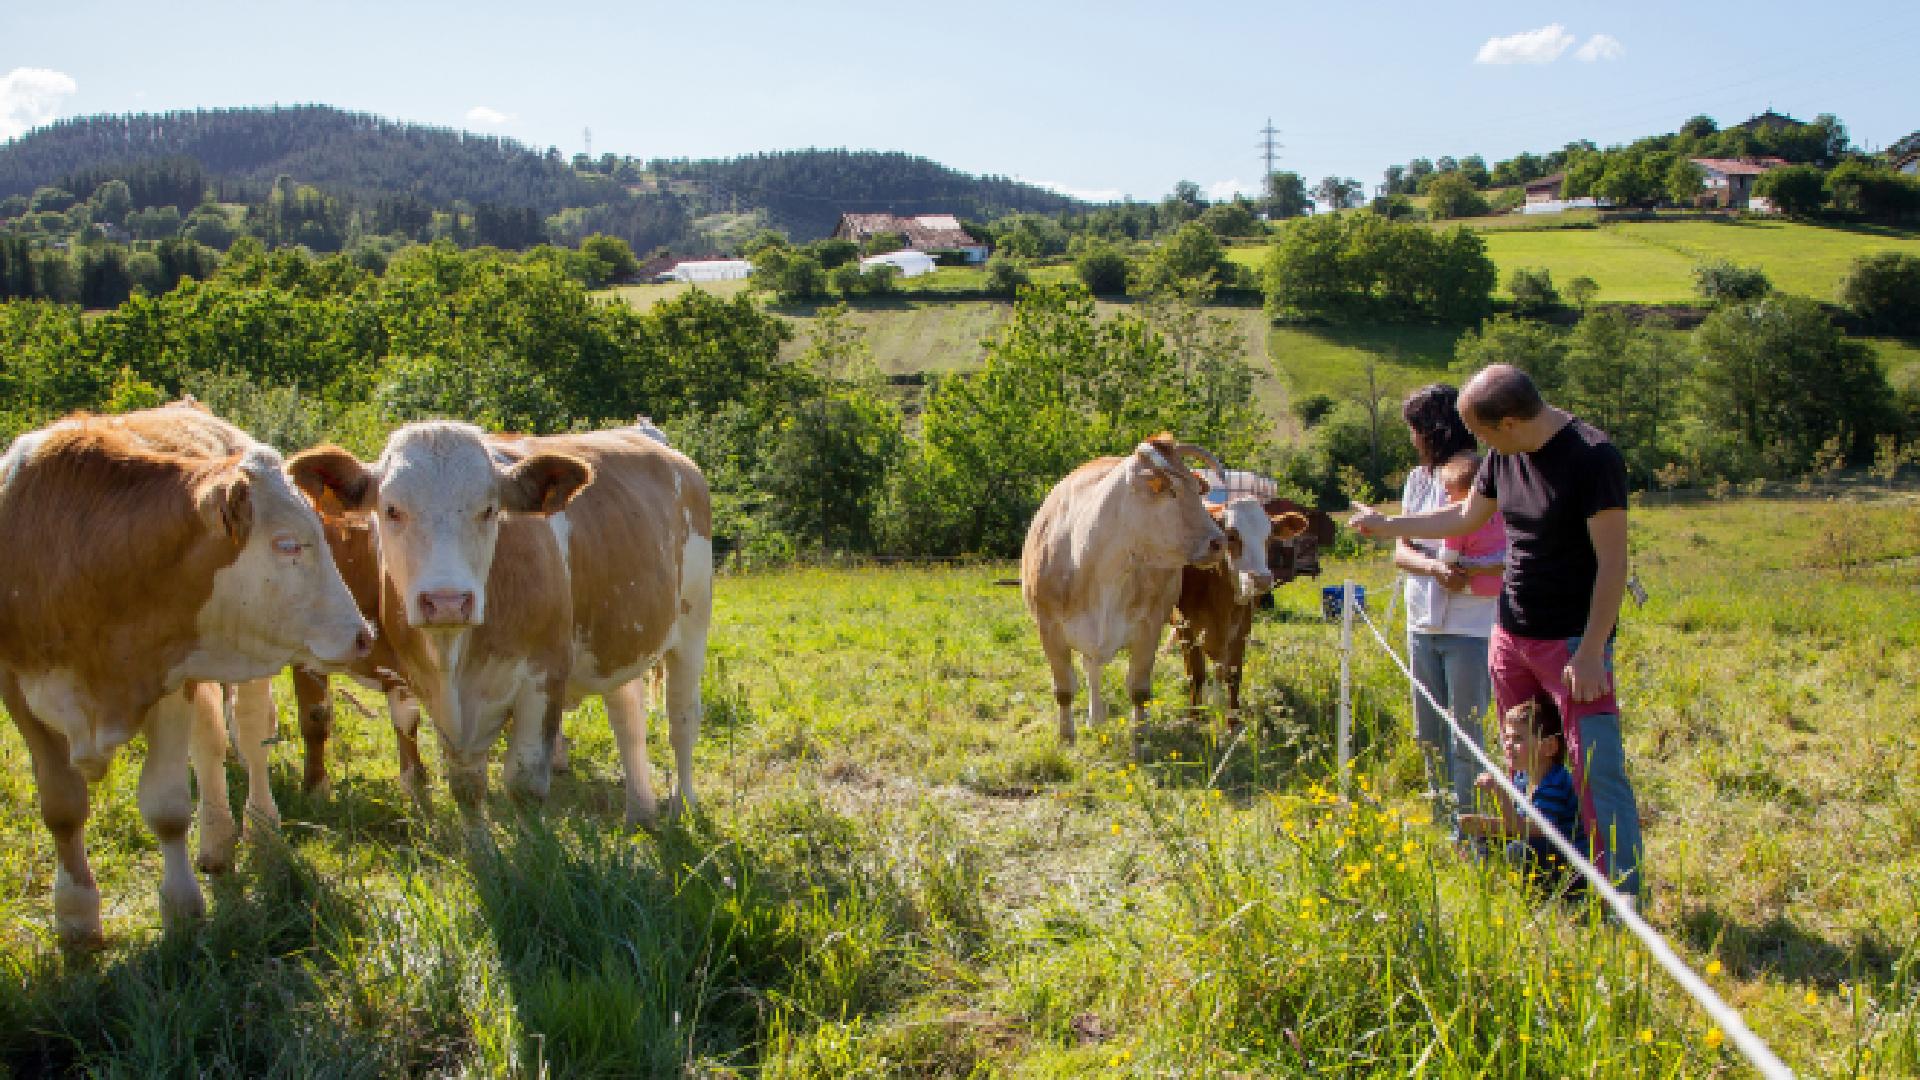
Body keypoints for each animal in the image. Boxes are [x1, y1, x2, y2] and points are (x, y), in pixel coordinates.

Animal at [0, 403, 370, 941]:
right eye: (287, 545)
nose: (363, 635)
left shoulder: (170, 686)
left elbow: (168, 807)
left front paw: (181, 907)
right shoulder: (18, 693)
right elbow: (62, 808)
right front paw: (76, 915)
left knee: (249, 735)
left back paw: (261, 831)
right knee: (211, 745)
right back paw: (216, 843)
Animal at [291, 417, 721, 818]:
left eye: (489, 510)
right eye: (391, 509)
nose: (447, 602)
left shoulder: (542, 677)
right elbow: (327, 719)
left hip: (692, 626)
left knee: (682, 718)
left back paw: (683, 805)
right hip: (616, 638)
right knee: (626, 715)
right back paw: (640, 811)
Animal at [1021, 430, 1228, 737]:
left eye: (1196, 489)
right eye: (1171, 491)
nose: (1219, 542)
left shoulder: (1149, 627)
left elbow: (1139, 690)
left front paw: (1140, 737)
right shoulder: (1048, 628)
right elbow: (1064, 690)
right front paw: (1067, 738)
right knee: (1091, 668)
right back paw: (1095, 718)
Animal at [1159, 499, 1313, 714]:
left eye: (1269, 537)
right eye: (1231, 536)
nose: (1262, 580)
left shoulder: (1241, 628)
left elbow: (1233, 675)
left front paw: (1231, 718)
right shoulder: (1185, 627)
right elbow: (1196, 676)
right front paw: (1194, 717)